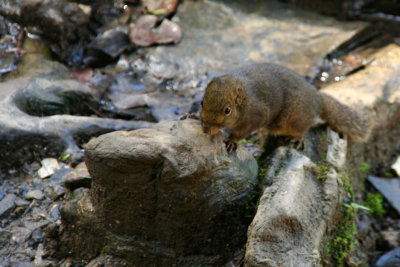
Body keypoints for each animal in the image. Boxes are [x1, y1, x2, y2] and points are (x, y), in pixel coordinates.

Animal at [202, 61, 374, 152]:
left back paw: (296, 139)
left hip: (293, 119)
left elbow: (241, 132)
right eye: (202, 102)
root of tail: (317, 99)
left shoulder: (256, 116)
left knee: (303, 128)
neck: (245, 100)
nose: (205, 130)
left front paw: (232, 141)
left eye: (227, 110)